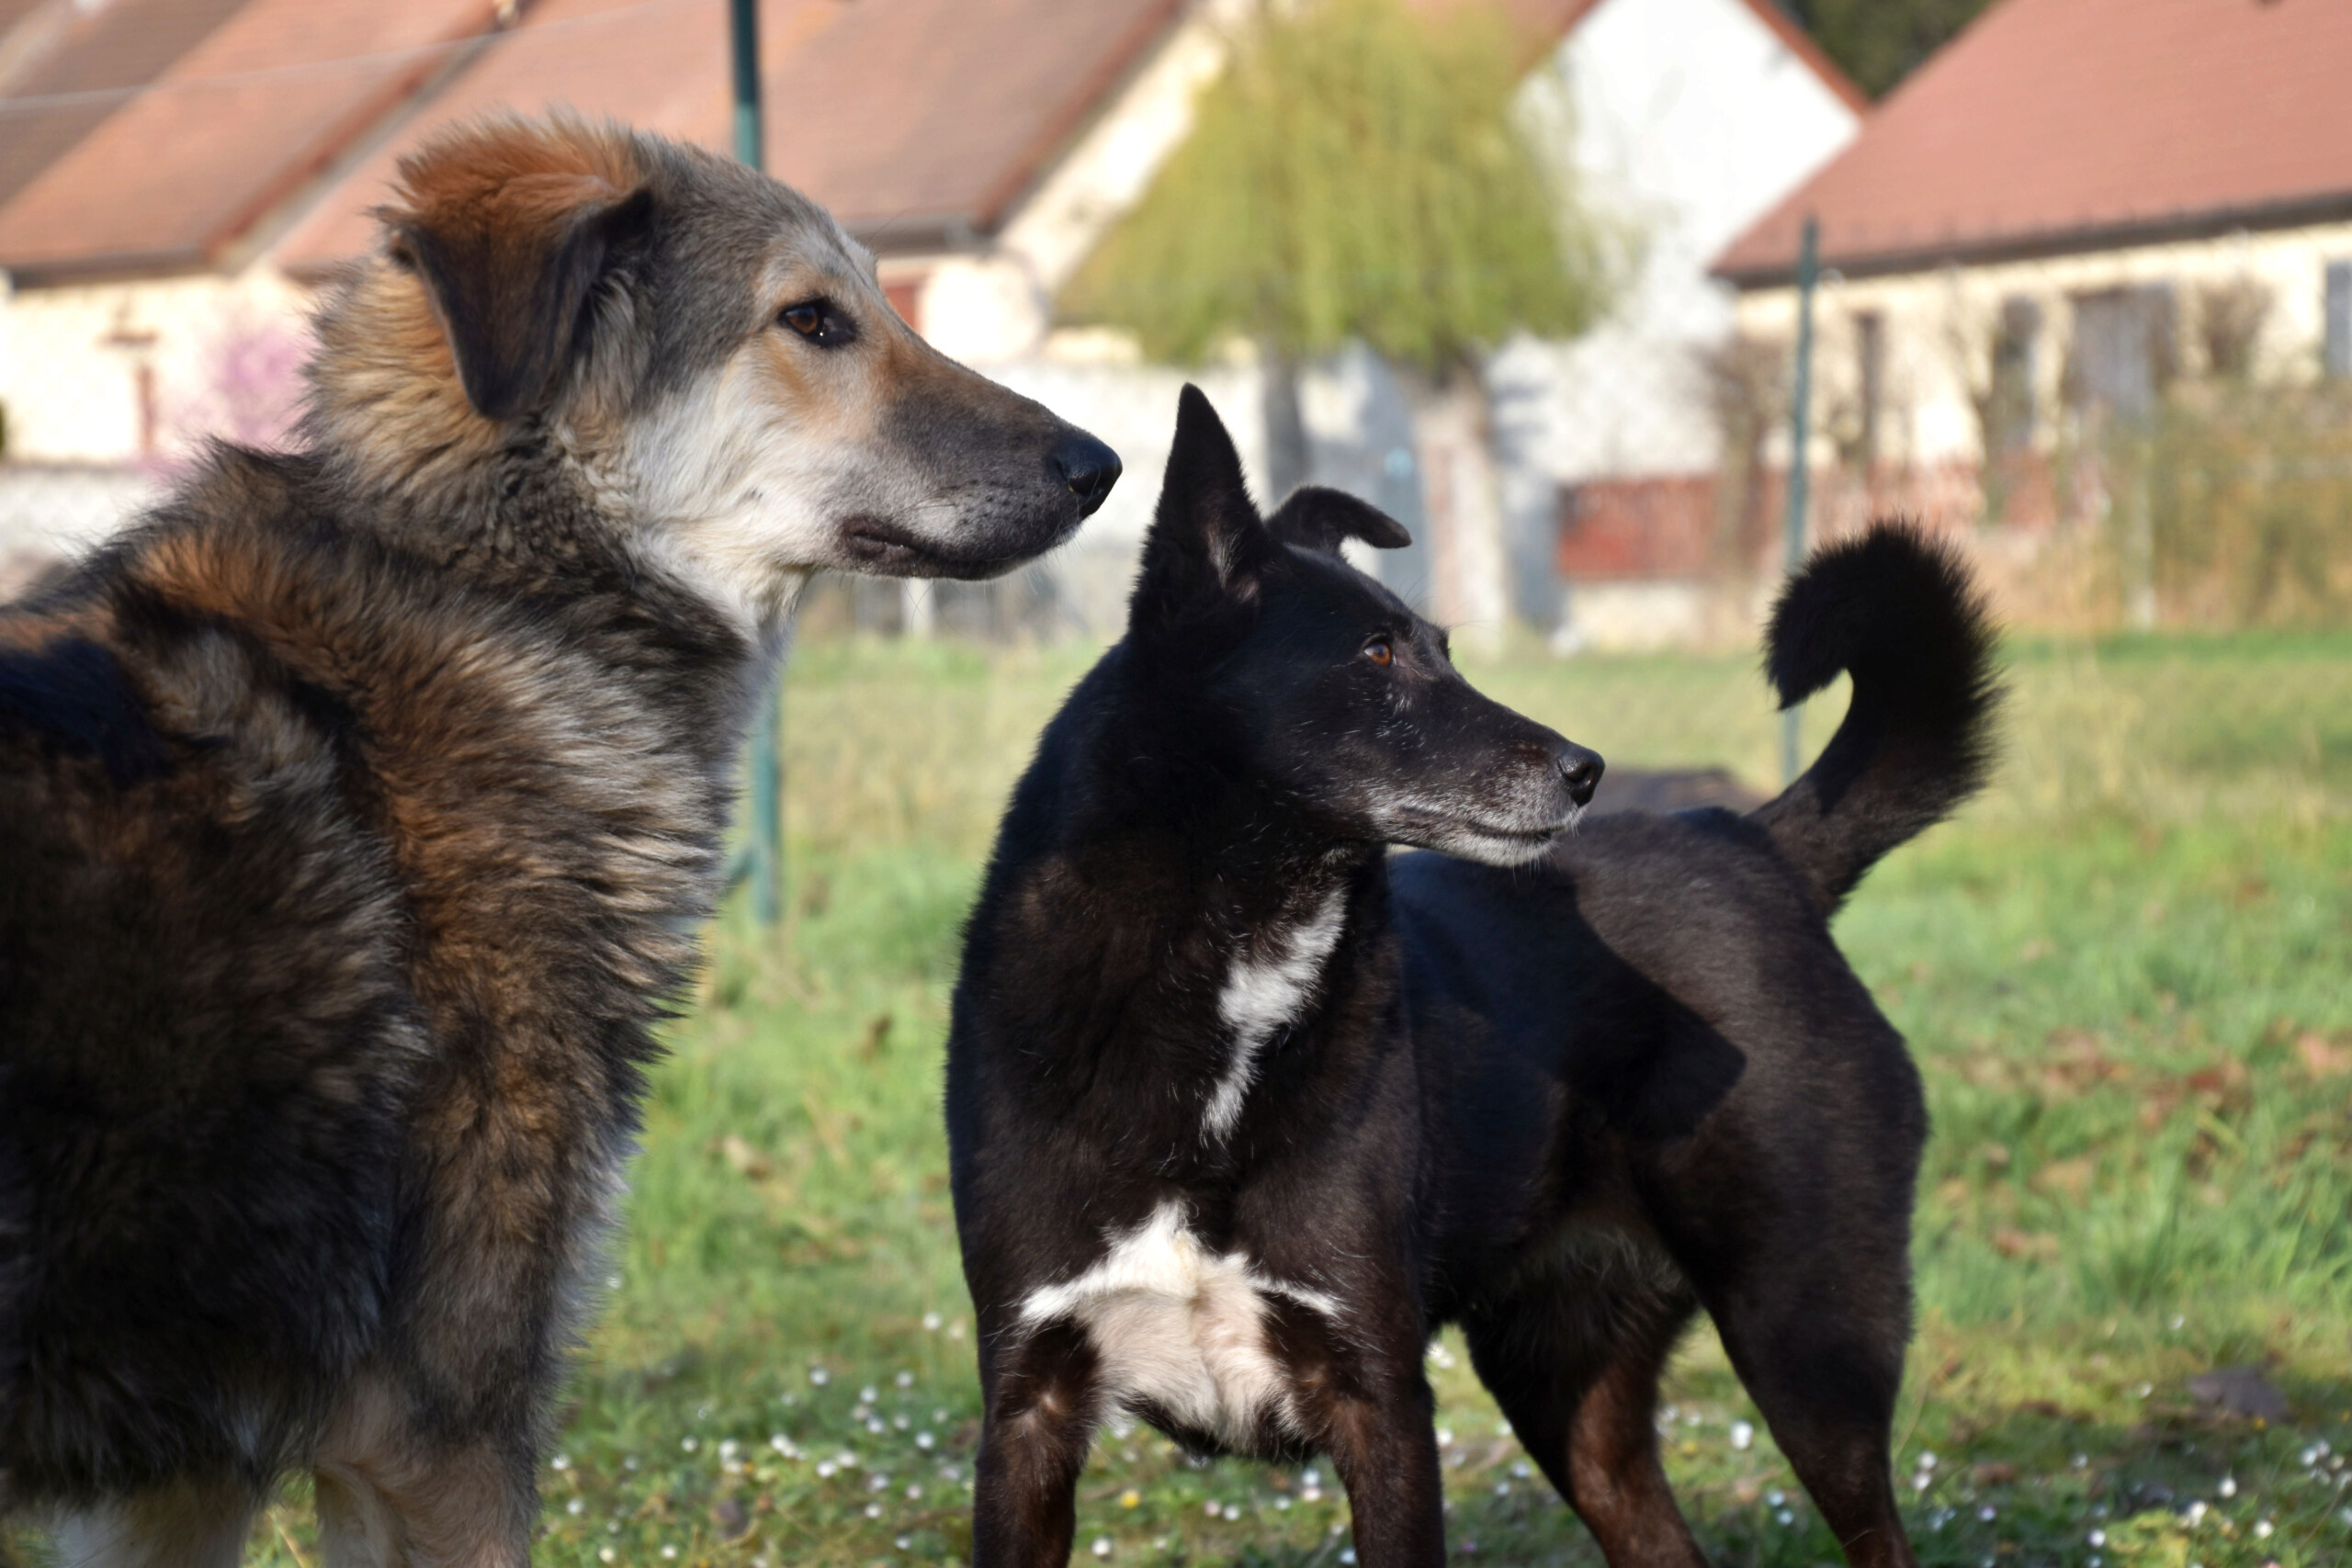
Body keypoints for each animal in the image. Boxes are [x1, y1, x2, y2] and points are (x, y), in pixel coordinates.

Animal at [945, 389, 1994, 1568]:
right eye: (1375, 652)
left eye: (1441, 649)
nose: (1583, 770)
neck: (1226, 970)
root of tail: (1759, 845)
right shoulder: (1026, 1413)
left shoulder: (1381, 1405)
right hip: (1568, 1386)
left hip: (1808, 1337)